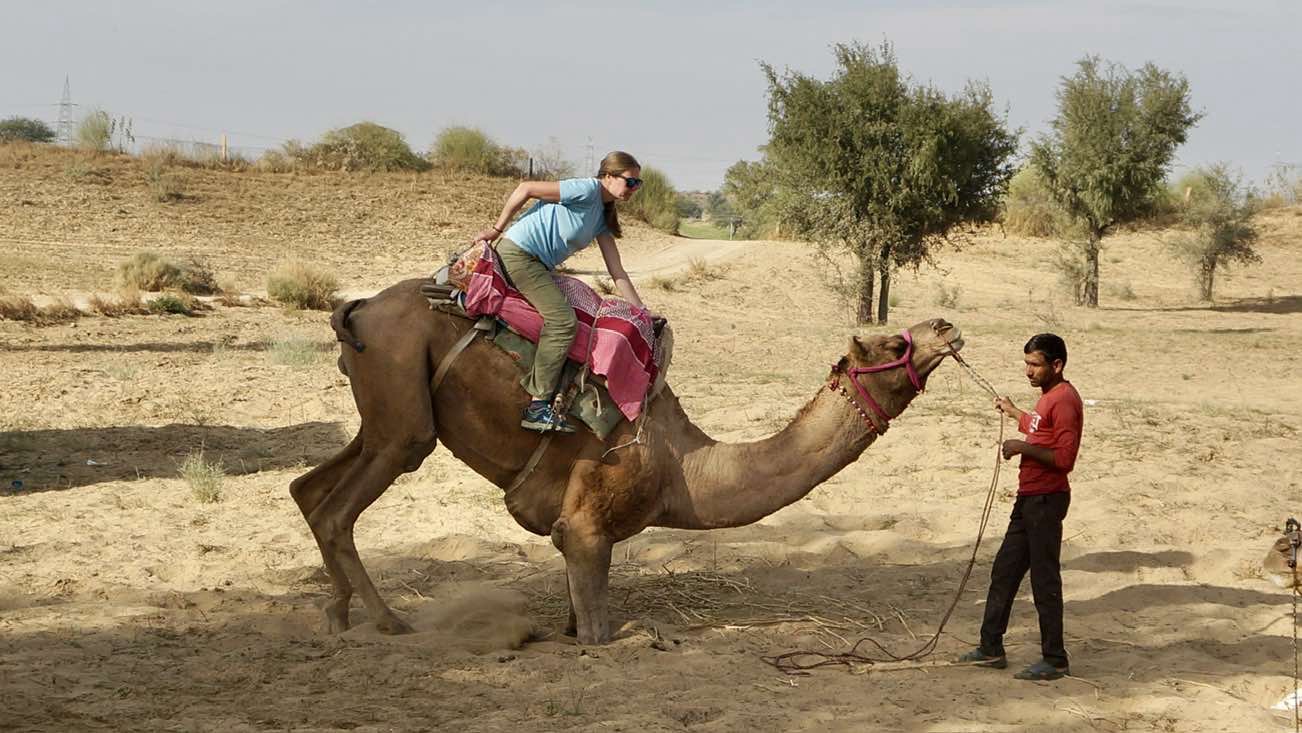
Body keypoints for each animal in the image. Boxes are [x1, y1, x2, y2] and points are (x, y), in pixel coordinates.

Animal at [290, 278, 964, 644]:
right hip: (401, 400)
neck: (682, 469)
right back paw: (389, 621)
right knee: (344, 504)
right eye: (895, 342)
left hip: (378, 414)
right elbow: (598, 631)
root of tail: (360, 307)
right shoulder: (590, 522)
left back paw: (336, 613)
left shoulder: (572, 527)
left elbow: (573, 601)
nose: (945, 325)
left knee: (308, 488)